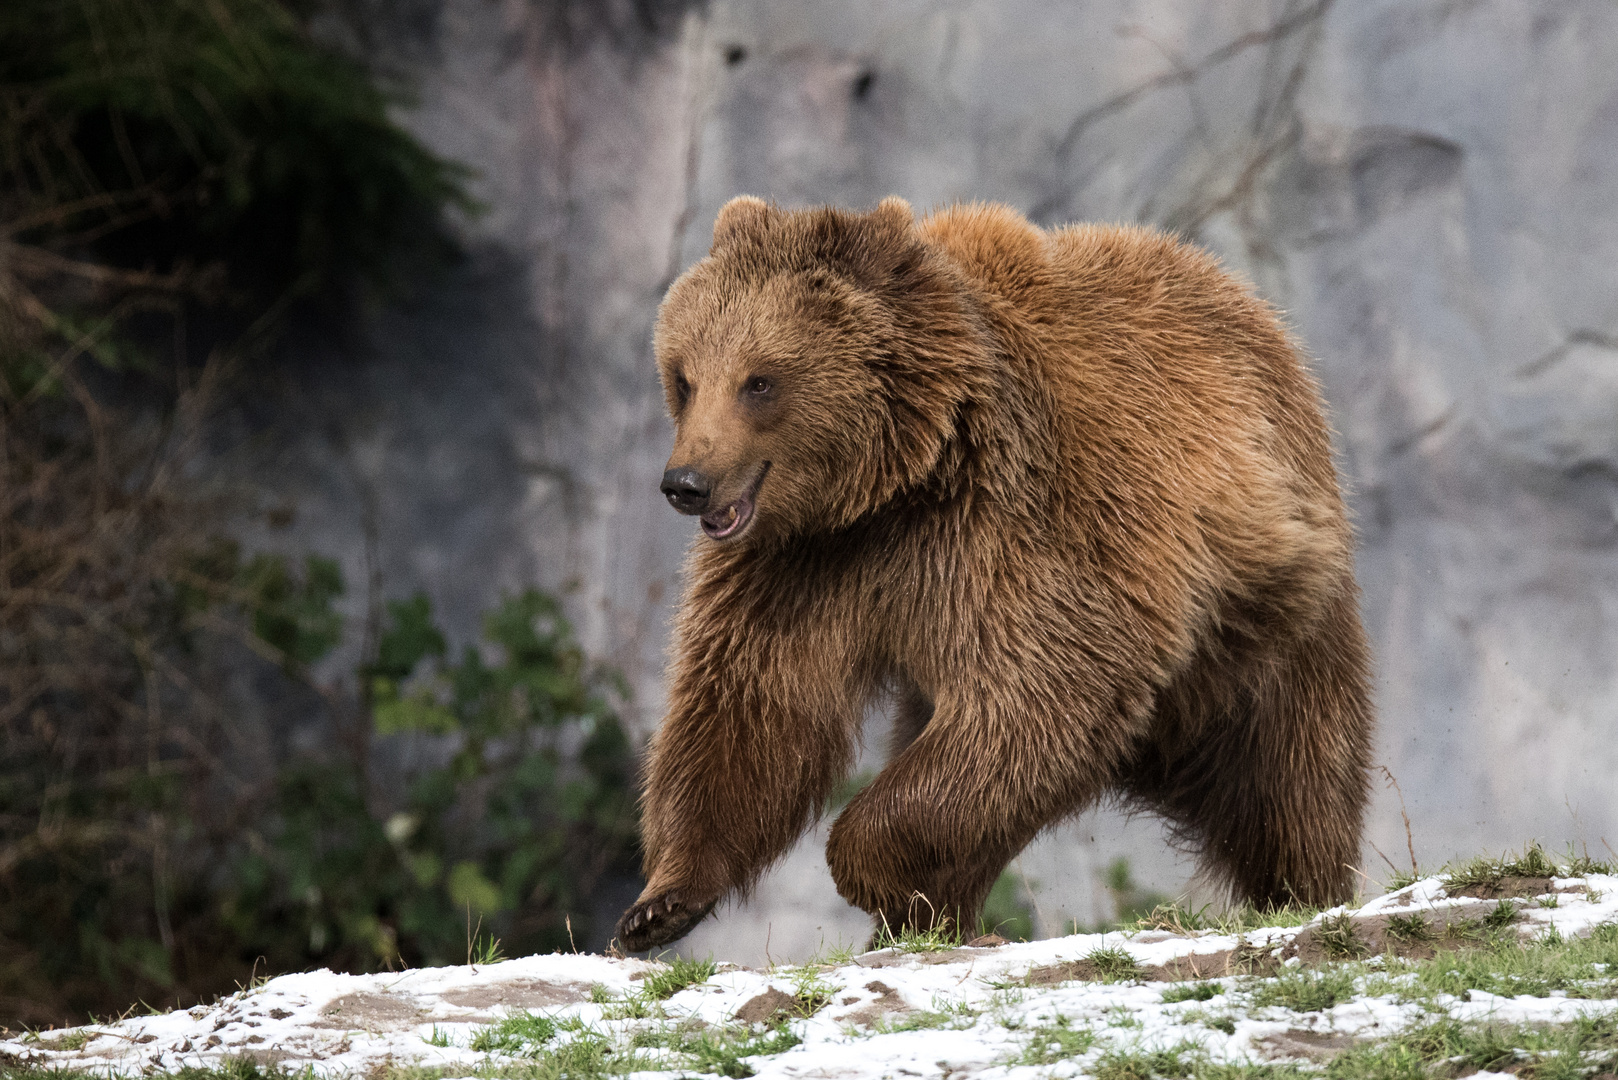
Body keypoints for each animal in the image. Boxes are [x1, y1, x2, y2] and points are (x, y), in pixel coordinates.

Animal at [611, 196, 1372, 952]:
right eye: (685, 376)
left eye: (759, 380)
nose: (686, 483)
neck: (899, 480)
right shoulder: (805, 564)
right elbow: (750, 709)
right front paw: (660, 905)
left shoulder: (1018, 525)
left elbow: (1038, 688)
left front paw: (871, 869)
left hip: (1269, 619)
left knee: (1291, 771)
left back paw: (1304, 887)